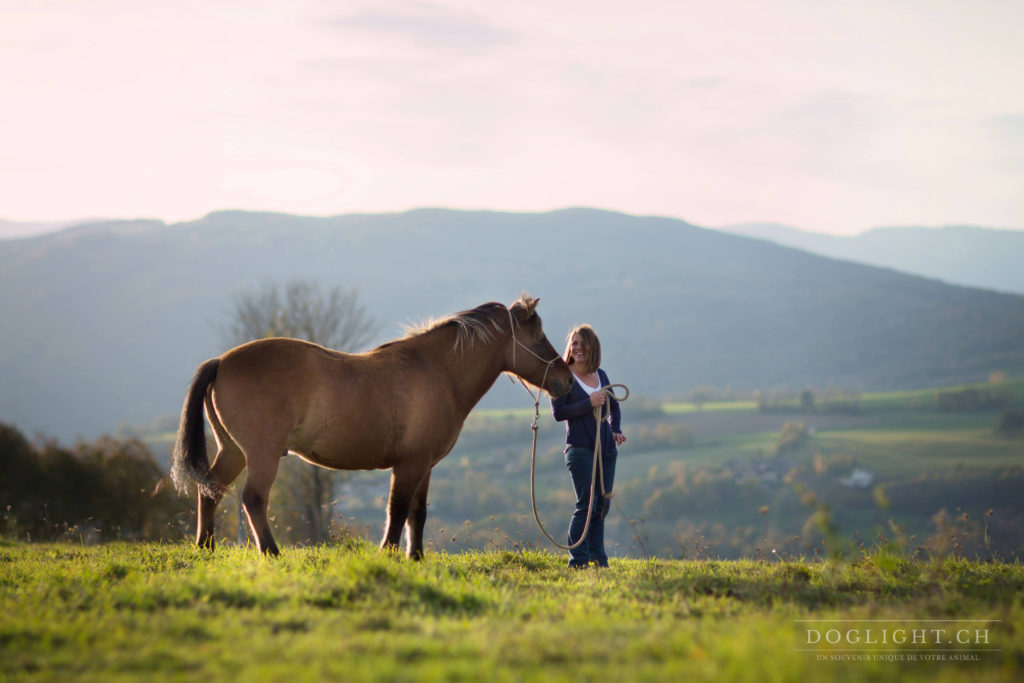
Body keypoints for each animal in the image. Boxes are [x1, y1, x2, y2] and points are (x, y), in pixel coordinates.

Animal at [176, 292, 577, 557]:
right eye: (538, 337)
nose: (565, 380)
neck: (438, 371)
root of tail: (221, 362)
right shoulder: (410, 464)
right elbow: (397, 509)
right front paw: (389, 554)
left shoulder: (425, 465)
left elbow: (417, 513)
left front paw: (415, 558)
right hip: (262, 455)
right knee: (253, 498)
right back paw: (271, 552)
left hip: (233, 452)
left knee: (210, 489)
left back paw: (206, 547)